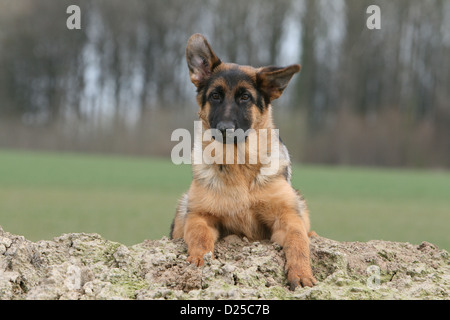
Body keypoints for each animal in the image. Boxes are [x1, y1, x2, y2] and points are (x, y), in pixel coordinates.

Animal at [169, 33, 316, 288]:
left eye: (245, 97)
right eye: (215, 96)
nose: (225, 128)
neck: (239, 164)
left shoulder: (287, 217)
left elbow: (298, 240)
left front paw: (301, 272)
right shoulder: (200, 216)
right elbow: (199, 236)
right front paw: (199, 261)